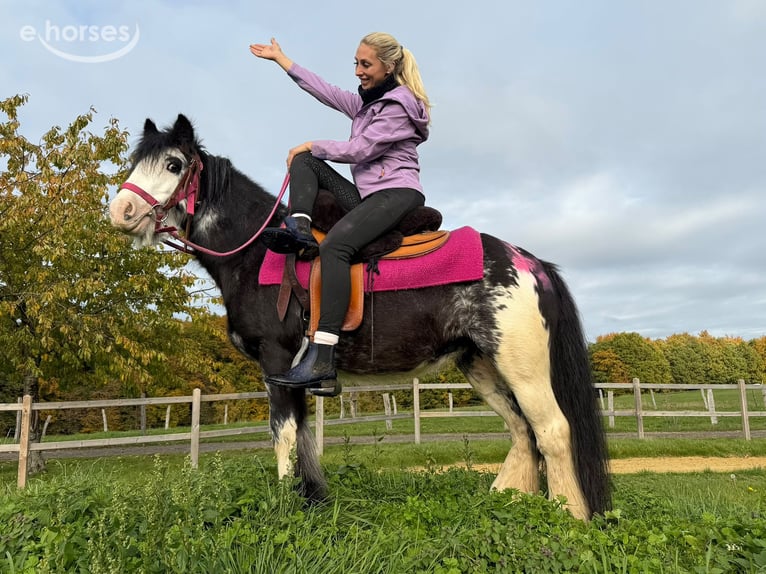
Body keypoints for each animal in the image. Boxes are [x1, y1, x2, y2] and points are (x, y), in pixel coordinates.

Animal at [108, 114, 610, 520]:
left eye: (174, 165)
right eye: (135, 163)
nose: (120, 211)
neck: (256, 253)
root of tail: (529, 262)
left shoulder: (277, 362)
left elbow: (283, 435)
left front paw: (285, 505)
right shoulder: (293, 374)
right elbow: (304, 437)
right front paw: (313, 500)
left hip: (522, 367)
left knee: (552, 430)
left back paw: (569, 514)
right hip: (480, 364)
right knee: (521, 430)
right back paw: (509, 497)